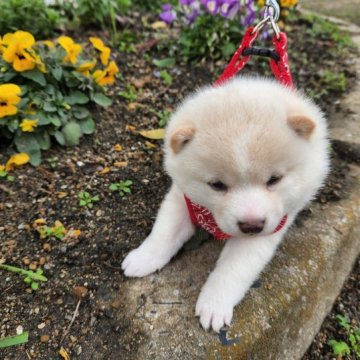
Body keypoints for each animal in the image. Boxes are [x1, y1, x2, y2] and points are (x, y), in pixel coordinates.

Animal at [122, 77, 330, 334]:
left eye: (274, 180)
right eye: (217, 185)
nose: (252, 225)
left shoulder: (266, 230)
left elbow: (233, 270)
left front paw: (214, 304)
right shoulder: (182, 198)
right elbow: (164, 232)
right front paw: (144, 258)